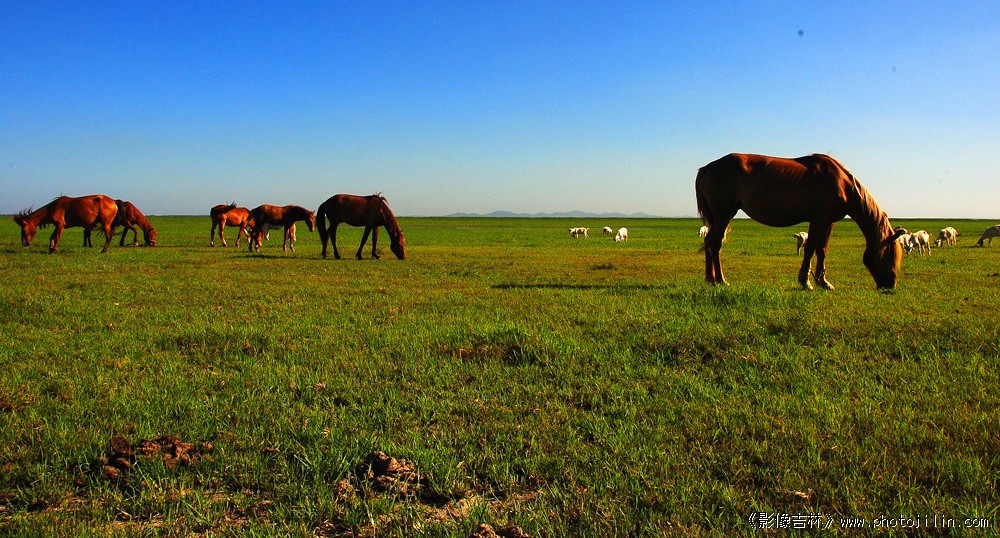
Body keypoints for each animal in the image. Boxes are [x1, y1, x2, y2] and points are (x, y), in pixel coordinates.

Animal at [695, 153, 904, 290]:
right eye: (890, 255)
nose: (891, 285)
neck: (843, 184)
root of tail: (706, 168)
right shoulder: (820, 218)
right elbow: (811, 248)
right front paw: (806, 281)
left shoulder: (827, 221)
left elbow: (822, 249)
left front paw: (822, 281)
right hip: (724, 214)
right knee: (715, 243)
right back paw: (720, 280)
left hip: (717, 216)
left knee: (709, 242)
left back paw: (710, 278)